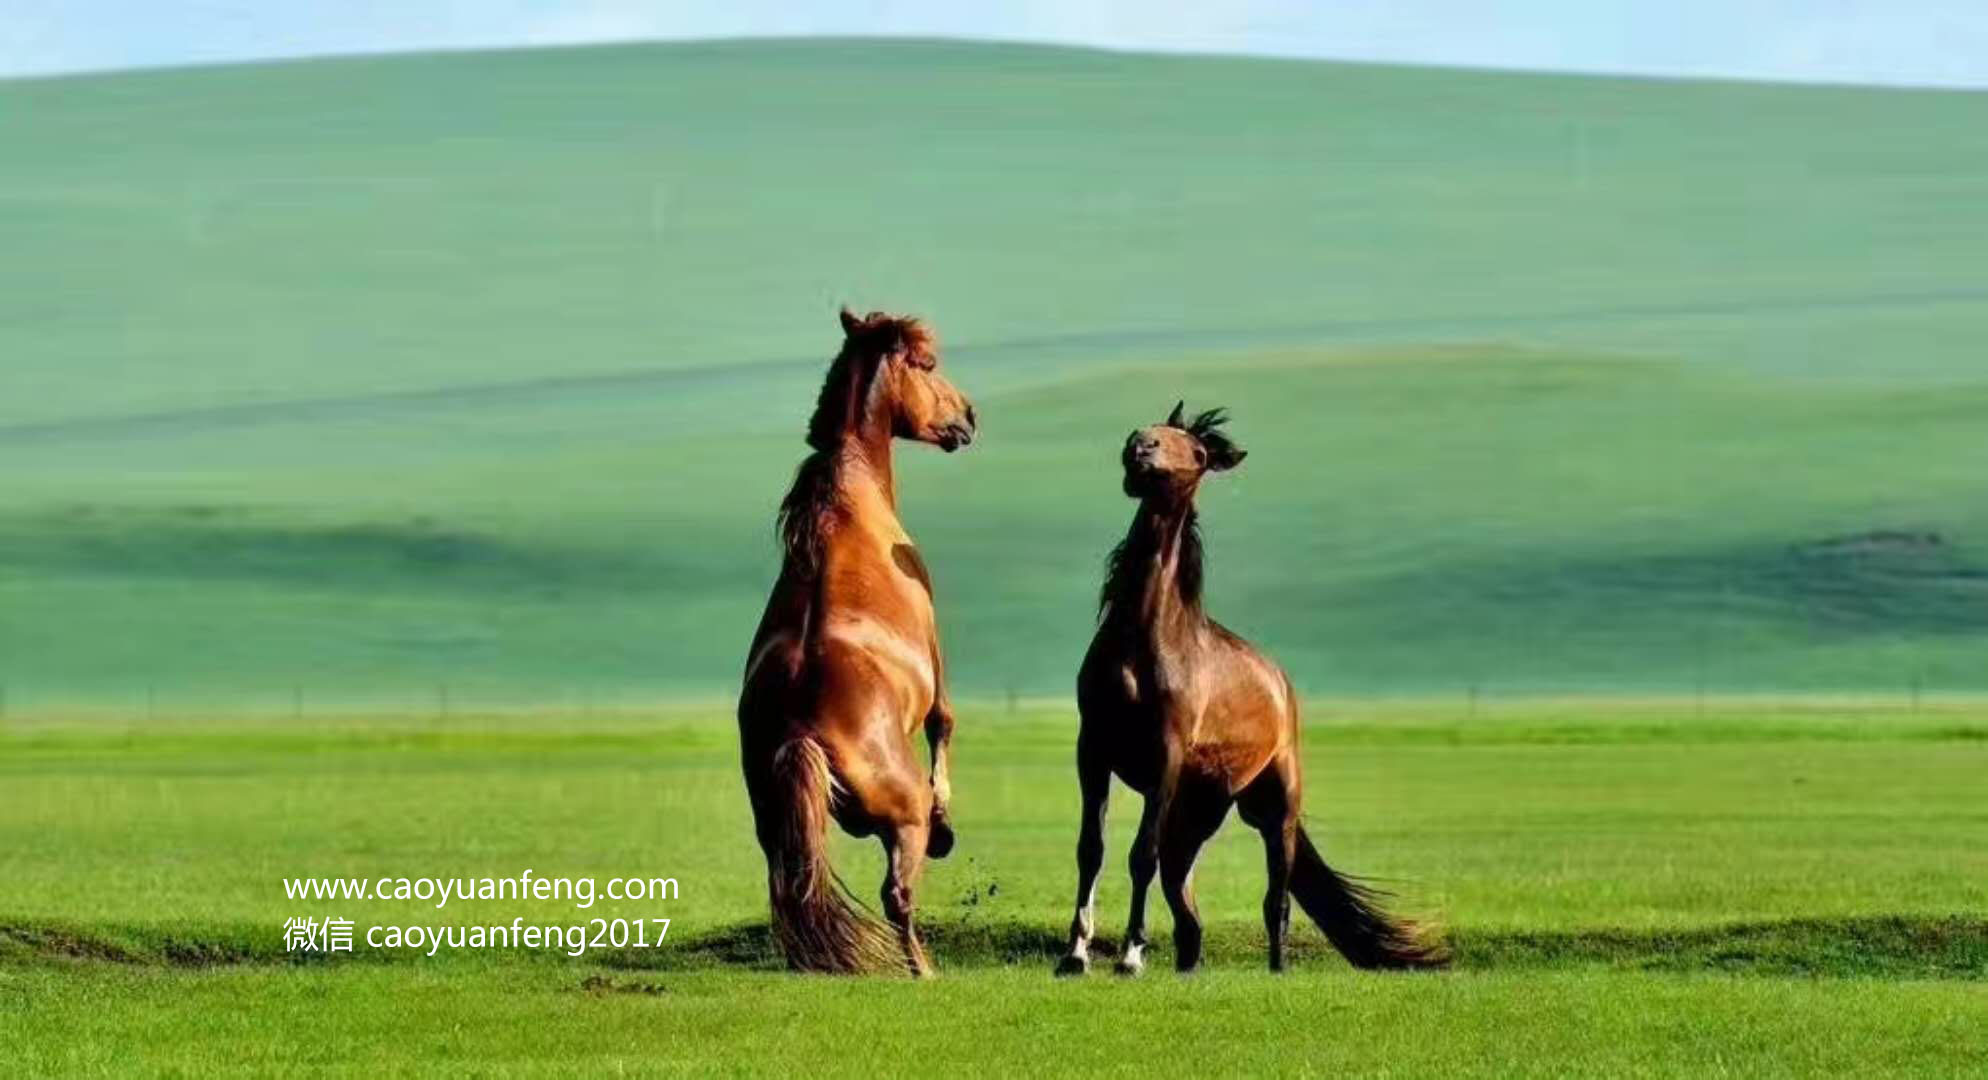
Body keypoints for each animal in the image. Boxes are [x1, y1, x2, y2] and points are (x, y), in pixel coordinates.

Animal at [739, 306, 978, 978]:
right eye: (927, 364)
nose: (968, 415)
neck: (853, 501)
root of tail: (802, 734)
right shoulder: (935, 647)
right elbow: (944, 720)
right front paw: (947, 815)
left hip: (777, 826)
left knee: (790, 887)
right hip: (900, 823)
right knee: (897, 894)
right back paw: (922, 966)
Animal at [1057, 401, 1447, 974]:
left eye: (1197, 452)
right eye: (1149, 429)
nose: (1140, 447)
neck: (1144, 638)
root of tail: (1281, 684)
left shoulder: (1165, 758)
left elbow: (1139, 854)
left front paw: (1129, 955)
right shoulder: (1094, 748)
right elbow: (1092, 850)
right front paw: (1075, 954)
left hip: (1275, 807)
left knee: (1274, 900)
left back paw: (1276, 968)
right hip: (1198, 813)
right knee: (1186, 904)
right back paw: (1186, 967)